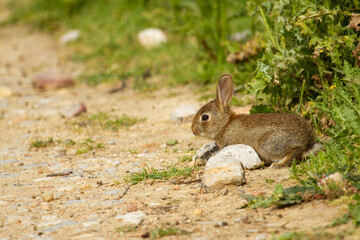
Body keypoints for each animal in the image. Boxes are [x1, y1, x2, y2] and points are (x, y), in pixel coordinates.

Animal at [193, 74, 322, 168]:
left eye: (204, 117)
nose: (193, 130)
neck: (225, 125)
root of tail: (307, 141)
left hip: (269, 145)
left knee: (296, 151)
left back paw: (277, 165)